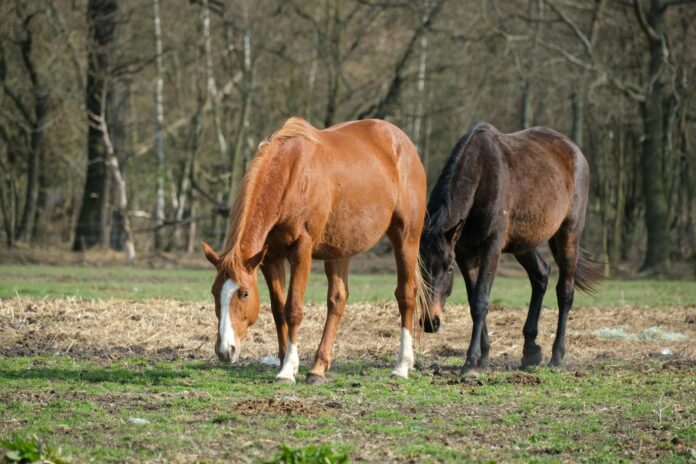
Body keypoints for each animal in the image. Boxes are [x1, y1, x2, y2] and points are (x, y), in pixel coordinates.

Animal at [202, 117, 427, 384]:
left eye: (244, 293)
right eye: (214, 292)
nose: (225, 351)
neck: (290, 176)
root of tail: (402, 143)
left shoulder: (301, 250)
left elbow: (293, 308)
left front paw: (287, 370)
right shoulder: (270, 257)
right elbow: (278, 309)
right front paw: (285, 362)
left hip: (406, 237)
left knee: (406, 295)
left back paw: (402, 366)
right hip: (340, 249)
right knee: (337, 299)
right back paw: (319, 367)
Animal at [419, 122, 603, 372]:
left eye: (448, 268)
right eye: (421, 267)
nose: (431, 321)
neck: (480, 176)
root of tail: (575, 151)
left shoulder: (491, 248)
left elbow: (480, 300)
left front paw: (471, 362)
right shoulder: (465, 254)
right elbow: (473, 300)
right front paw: (484, 357)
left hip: (569, 234)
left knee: (565, 292)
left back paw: (556, 357)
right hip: (524, 244)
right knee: (541, 275)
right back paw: (530, 351)